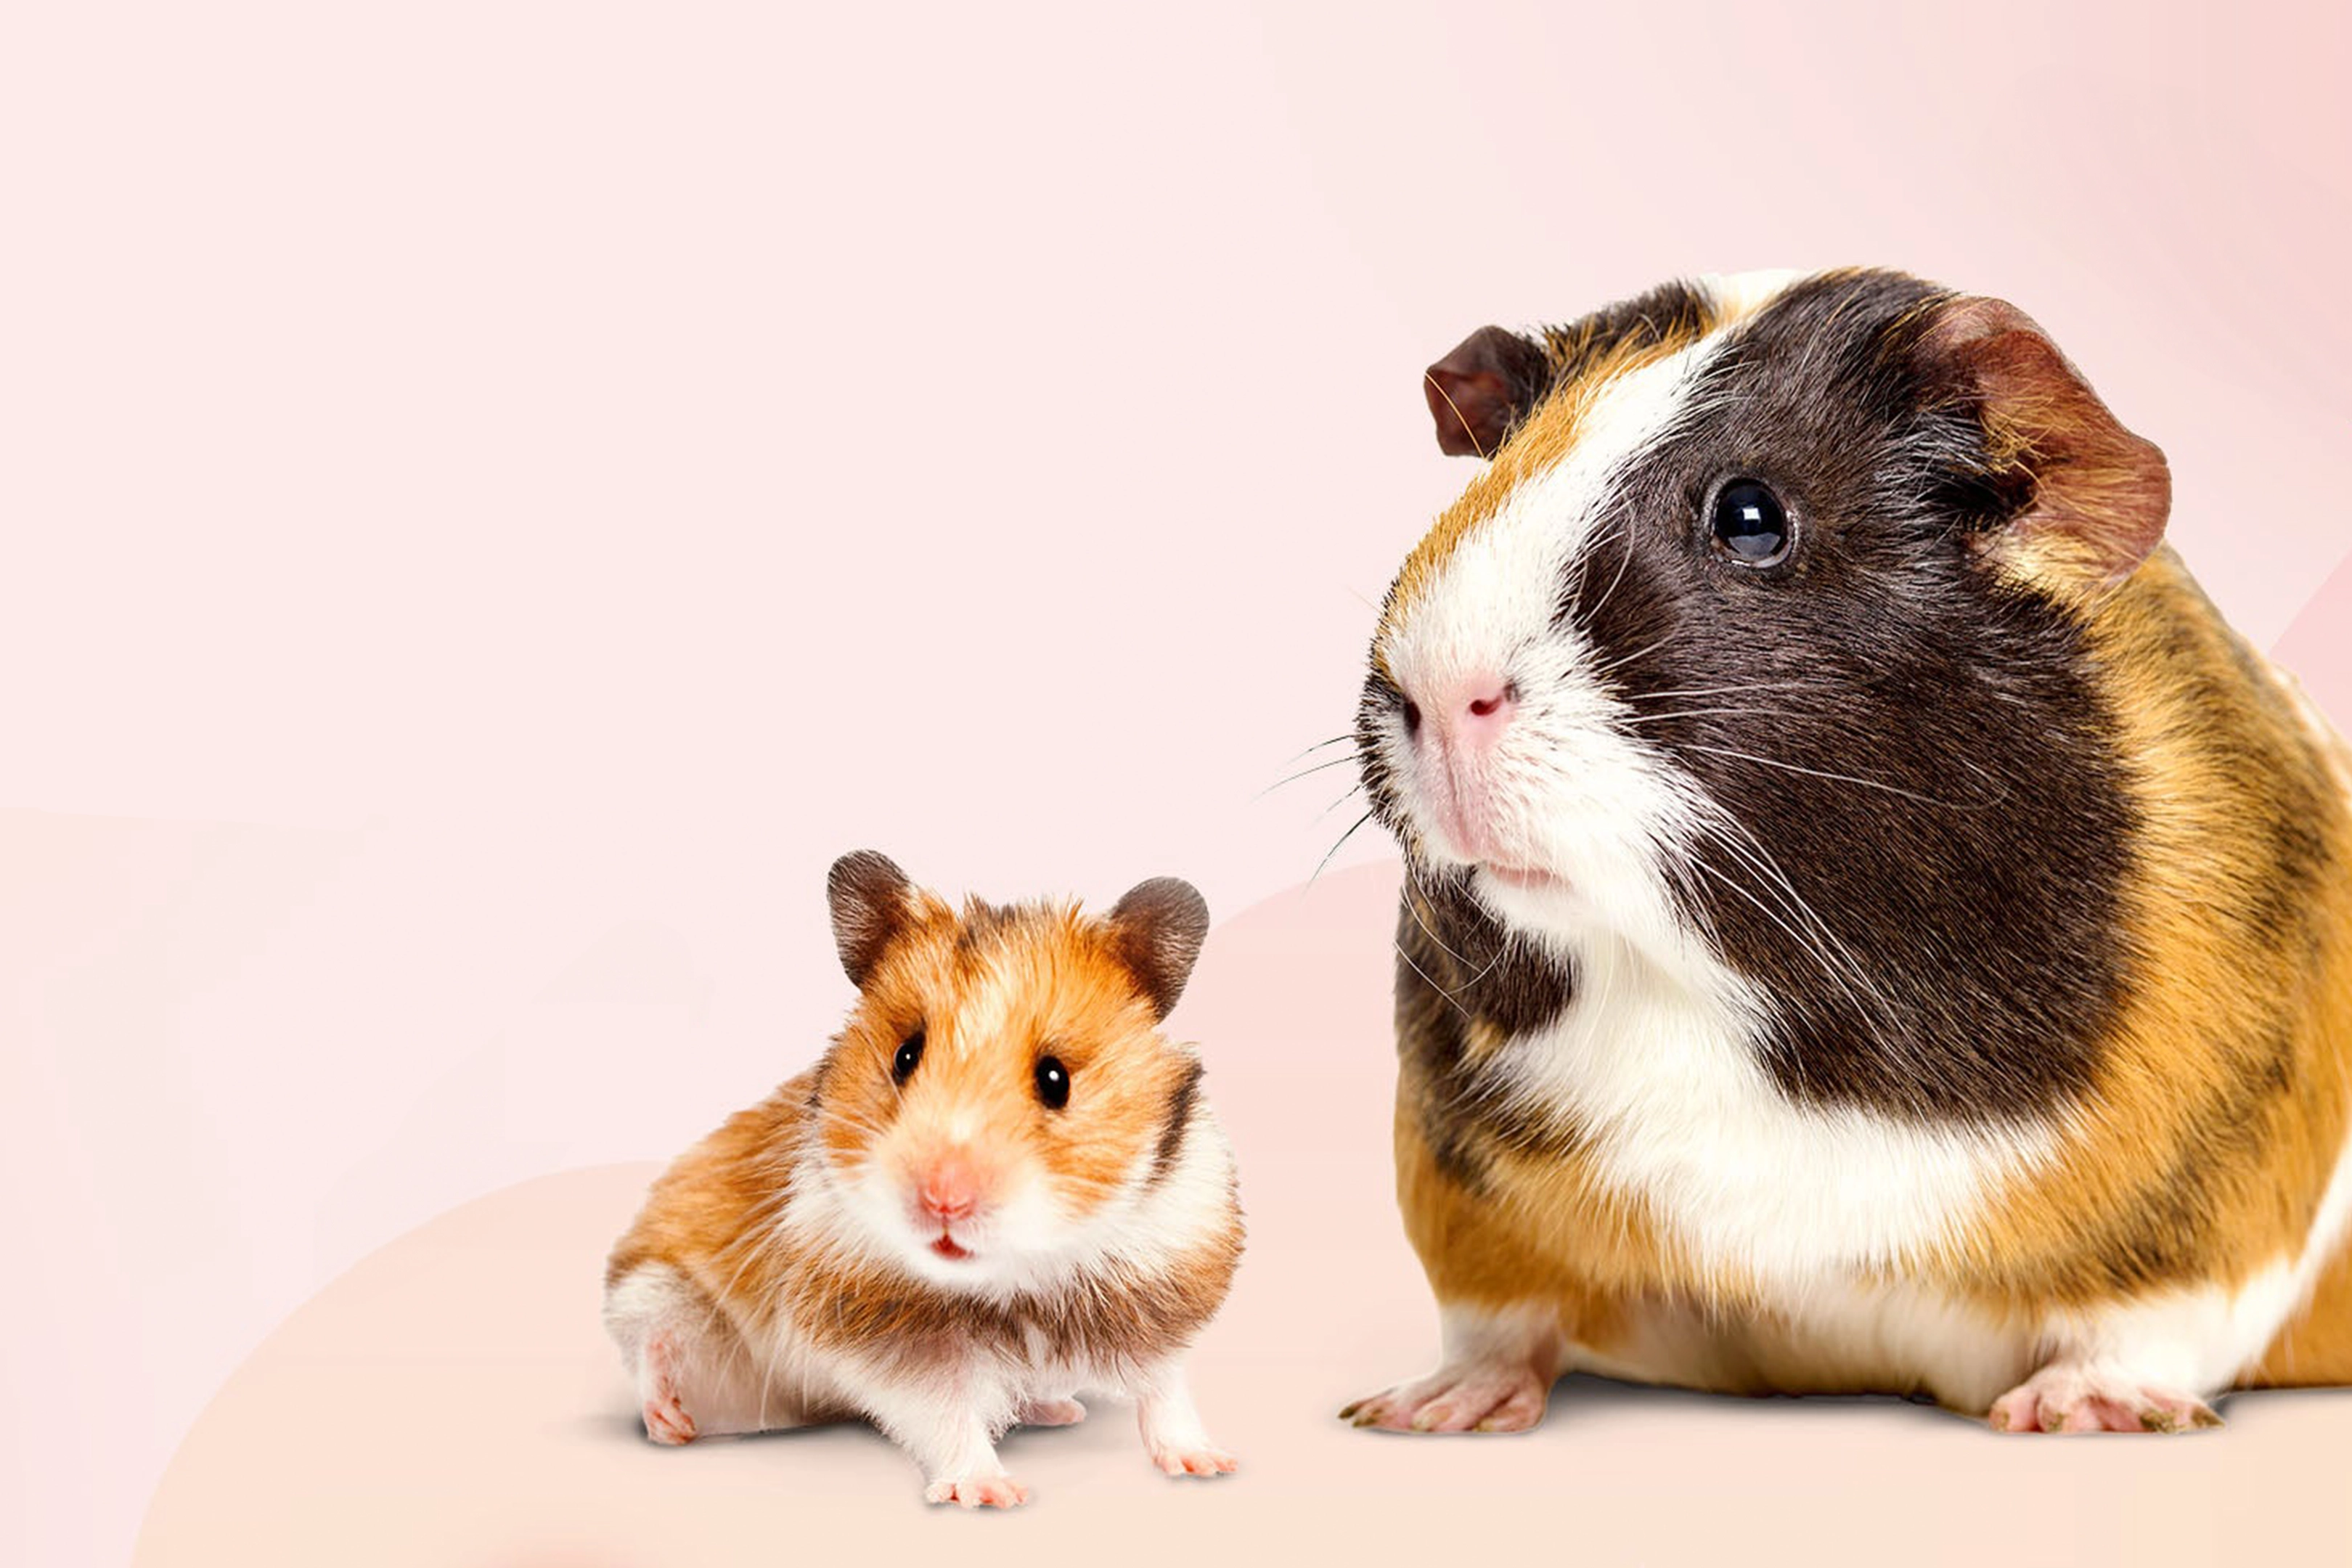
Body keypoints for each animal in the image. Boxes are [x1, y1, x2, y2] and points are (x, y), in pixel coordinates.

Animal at [604, 852, 1242, 1505]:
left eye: (1056, 1079)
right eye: (905, 1056)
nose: (943, 1202)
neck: (1021, 1277)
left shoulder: (1163, 1277)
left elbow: (1166, 1392)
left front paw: (1209, 1464)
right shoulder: (896, 1339)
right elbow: (947, 1415)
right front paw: (992, 1494)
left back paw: (1060, 1409)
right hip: (658, 1292)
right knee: (654, 1347)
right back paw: (671, 1422)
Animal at [1340, 268, 2352, 1435]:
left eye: (1750, 517)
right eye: (1489, 475)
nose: (1435, 690)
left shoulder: (2218, 1213)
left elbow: (2147, 1326)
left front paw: (2076, 1412)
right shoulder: (1465, 1194)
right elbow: (1499, 1321)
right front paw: (1424, 1411)